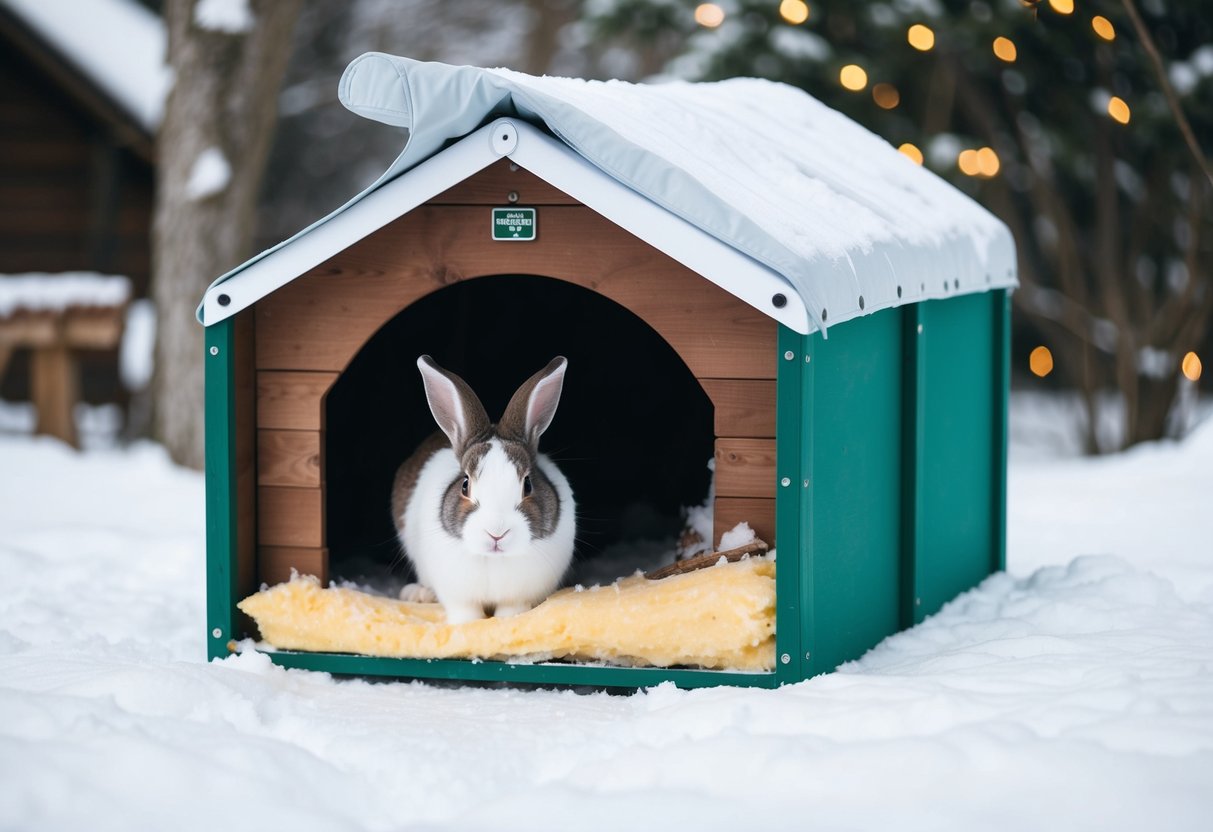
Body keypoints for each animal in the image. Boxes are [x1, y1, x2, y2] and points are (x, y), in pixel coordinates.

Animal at [390, 356, 574, 625]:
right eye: (465, 484)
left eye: (528, 484)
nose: (496, 533)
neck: (492, 559)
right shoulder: (458, 596)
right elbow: (466, 612)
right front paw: (467, 624)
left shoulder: (518, 595)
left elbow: (512, 609)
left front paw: (509, 619)